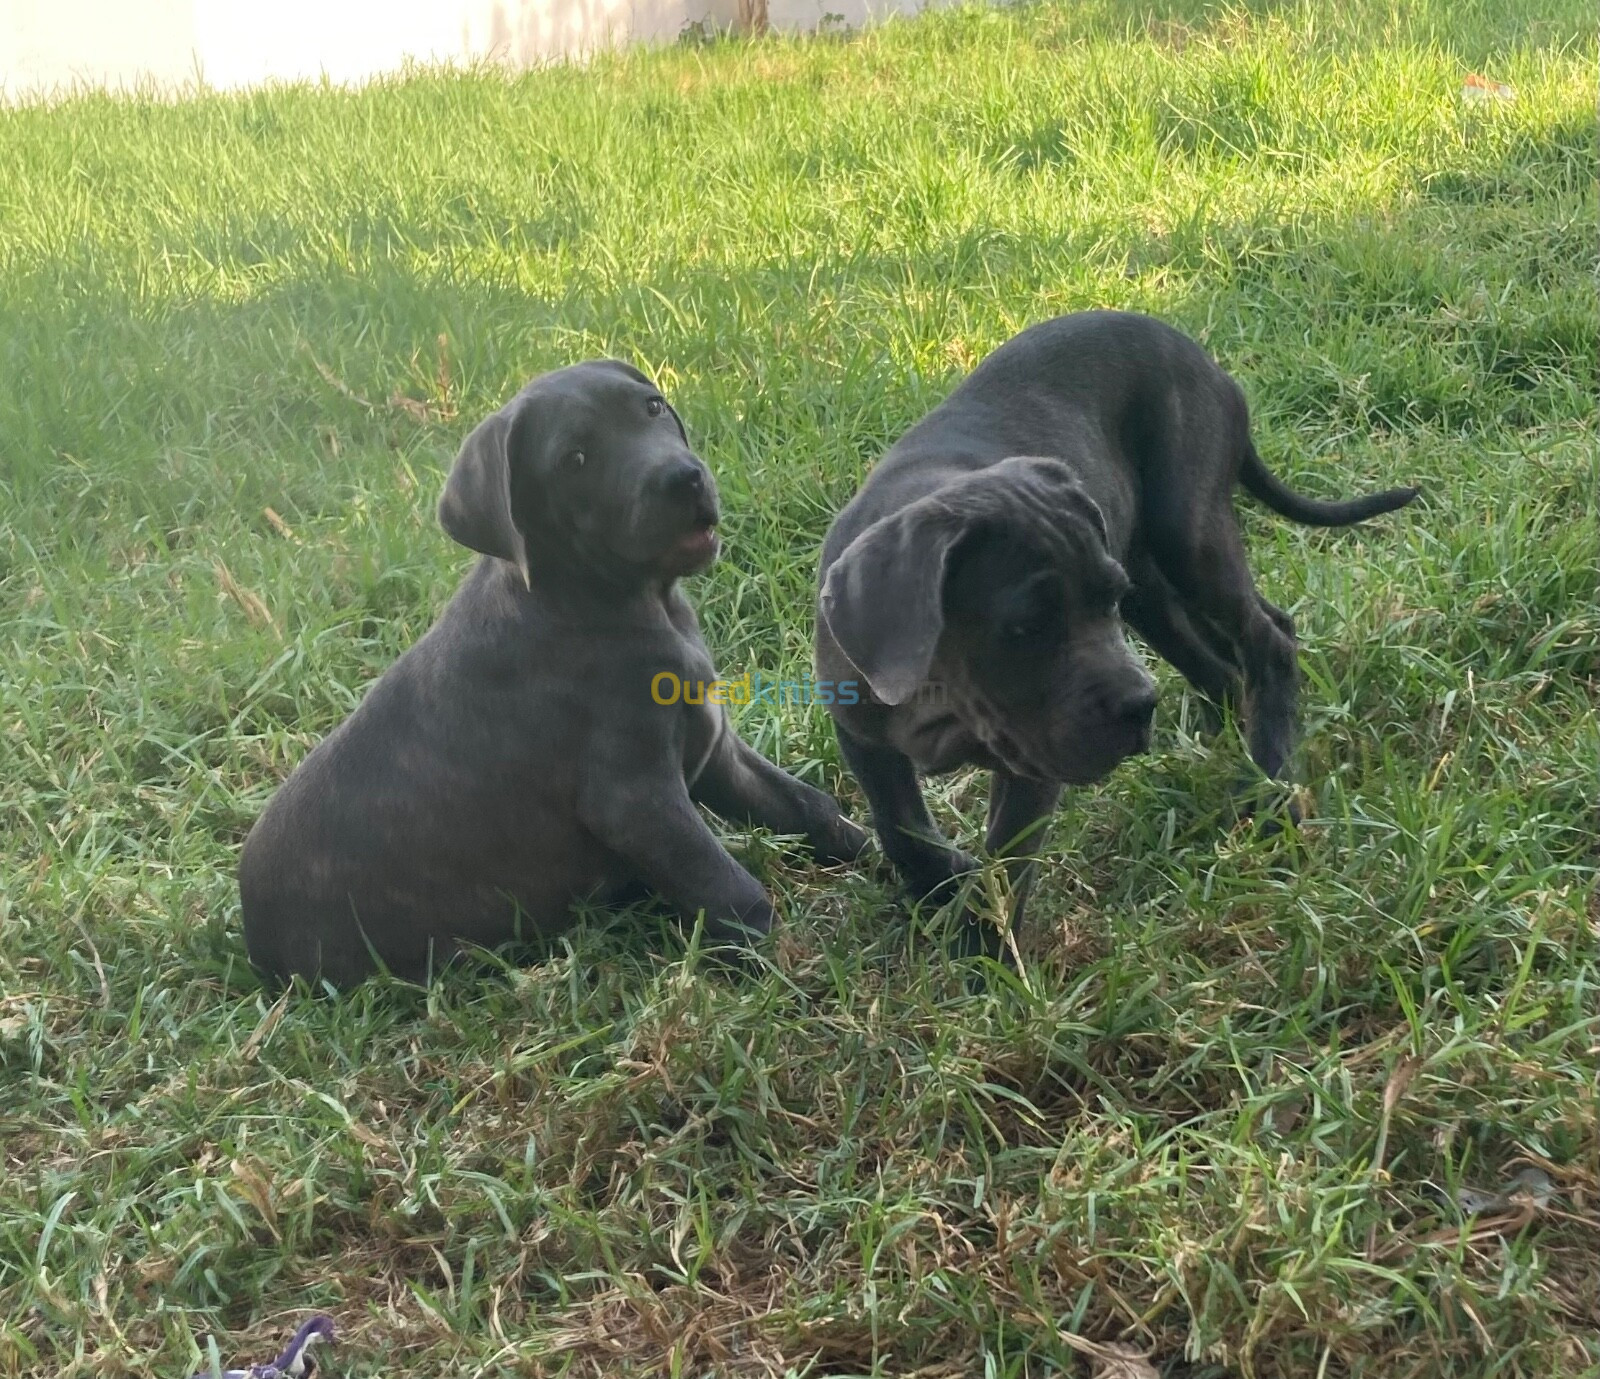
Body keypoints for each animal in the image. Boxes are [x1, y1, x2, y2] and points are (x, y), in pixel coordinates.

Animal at [246, 361, 876, 985]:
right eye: (575, 460)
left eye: (652, 408)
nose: (683, 478)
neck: (622, 600)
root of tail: (252, 945)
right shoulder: (634, 797)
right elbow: (722, 882)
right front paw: (781, 968)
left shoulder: (717, 748)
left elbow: (802, 803)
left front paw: (879, 852)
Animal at [819, 315, 1420, 959]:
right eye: (1025, 626)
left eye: (1099, 602)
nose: (1139, 706)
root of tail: (1204, 361)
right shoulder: (864, 737)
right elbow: (901, 827)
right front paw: (941, 889)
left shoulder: (1033, 757)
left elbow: (1008, 854)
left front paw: (986, 952)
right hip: (1150, 584)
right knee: (1227, 660)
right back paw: (1226, 745)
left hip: (1185, 537)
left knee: (1266, 640)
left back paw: (1271, 785)